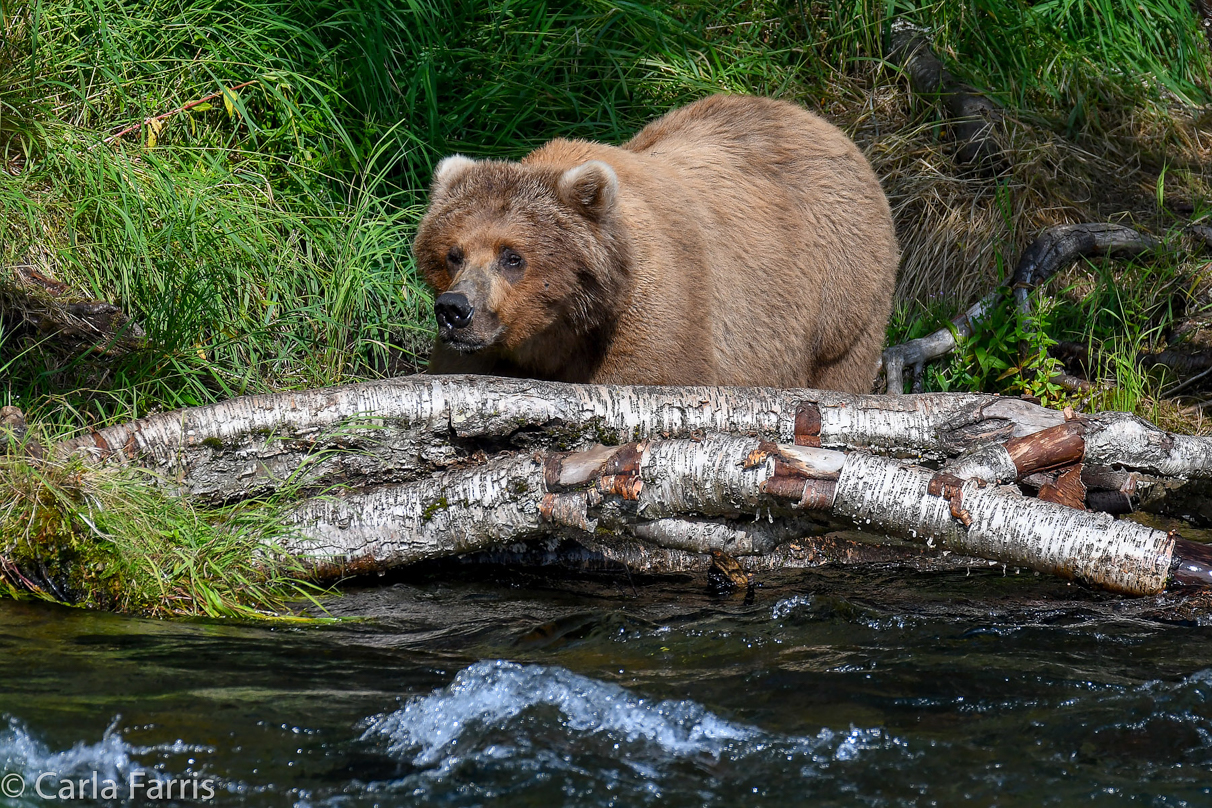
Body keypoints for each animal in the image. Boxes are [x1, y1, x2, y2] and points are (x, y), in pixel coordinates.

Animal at [416, 93, 901, 392]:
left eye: (512, 256)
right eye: (453, 254)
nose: (455, 309)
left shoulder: (659, 300)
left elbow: (652, 373)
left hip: (841, 293)